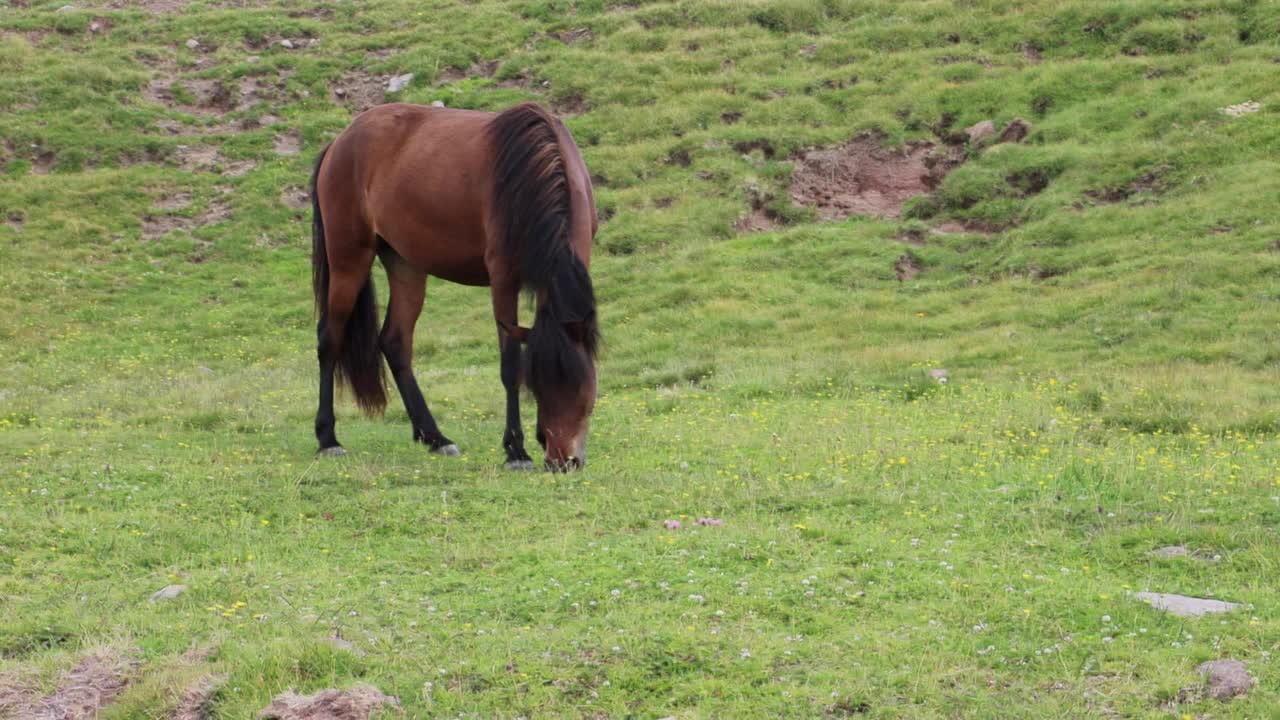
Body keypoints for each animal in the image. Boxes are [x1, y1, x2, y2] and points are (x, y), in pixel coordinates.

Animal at [314, 101, 604, 471]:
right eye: (540, 388)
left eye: (583, 388)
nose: (563, 461)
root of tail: (339, 142)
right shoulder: (503, 278)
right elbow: (510, 366)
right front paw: (516, 450)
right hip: (349, 258)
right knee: (330, 339)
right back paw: (328, 439)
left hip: (405, 264)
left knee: (395, 342)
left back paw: (435, 438)